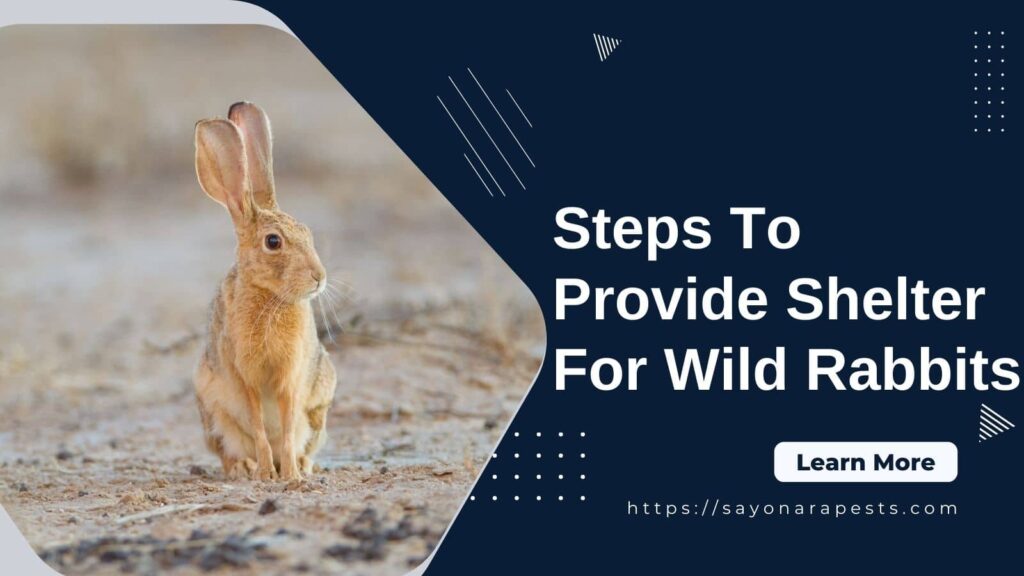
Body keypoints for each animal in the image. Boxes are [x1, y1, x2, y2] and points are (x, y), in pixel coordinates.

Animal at [192, 102, 337, 481]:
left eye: (308, 233)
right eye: (273, 242)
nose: (319, 278)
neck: (270, 297)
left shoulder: (291, 377)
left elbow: (285, 427)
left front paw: (290, 475)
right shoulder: (247, 377)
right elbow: (258, 425)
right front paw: (267, 474)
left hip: (319, 406)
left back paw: (302, 465)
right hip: (213, 413)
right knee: (227, 448)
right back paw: (244, 467)